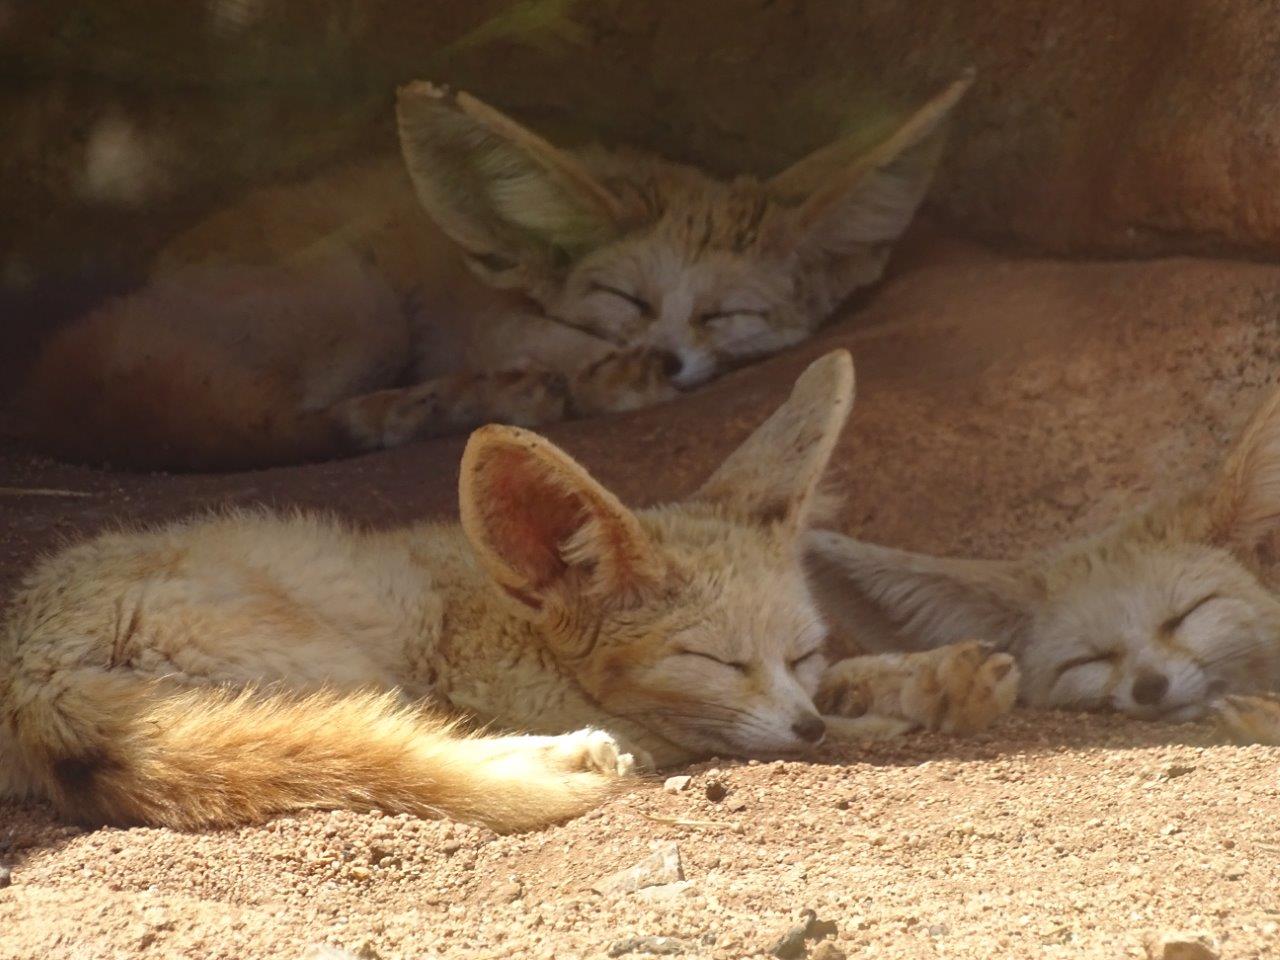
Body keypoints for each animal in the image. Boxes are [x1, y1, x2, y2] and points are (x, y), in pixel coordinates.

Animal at [0, 351, 1017, 832]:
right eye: (711, 659)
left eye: (802, 650)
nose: (804, 728)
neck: (518, 621)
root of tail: (30, 674)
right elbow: (748, 733)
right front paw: (886, 719)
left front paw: (939, 679)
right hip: (344, 662)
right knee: (404, 750)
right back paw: (563, 760)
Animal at [16, 75, 972, 471]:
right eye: (625, 297)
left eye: (727, 314)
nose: (668, 358)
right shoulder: (482, 316)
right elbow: (553, 344)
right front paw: (605, 376)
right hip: (361, 304)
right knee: (289, 420)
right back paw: (446, 405)